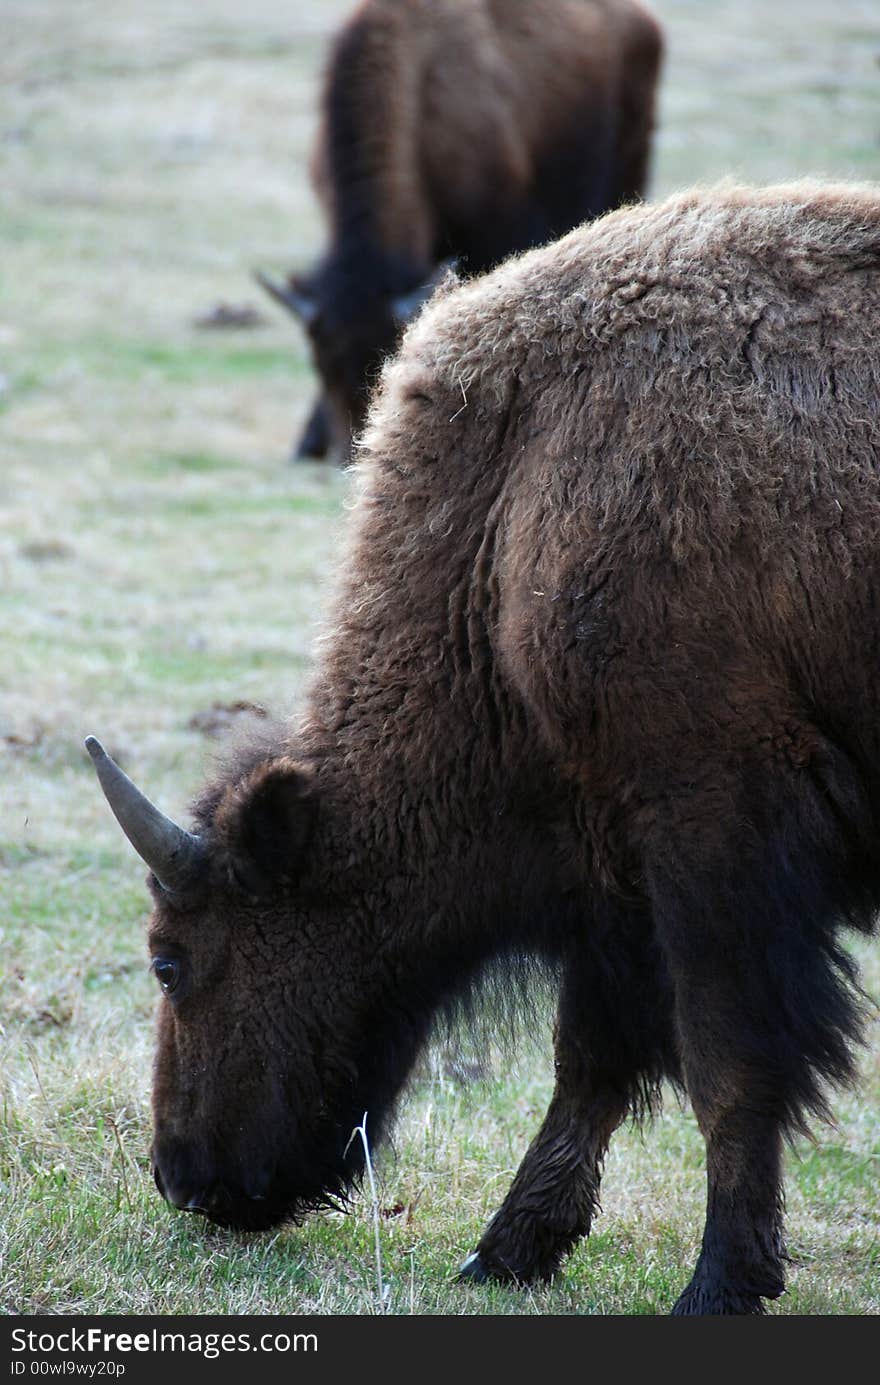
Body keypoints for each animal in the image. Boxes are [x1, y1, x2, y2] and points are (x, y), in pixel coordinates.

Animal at [89, 178, 880, 1312]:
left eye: (169, 959)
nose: (183, 1179)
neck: (511, 515)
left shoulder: (712, 827)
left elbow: (726, 1064)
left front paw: (718, 1281)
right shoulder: (620, 870)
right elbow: (593, 1059)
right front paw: (507, 1247)